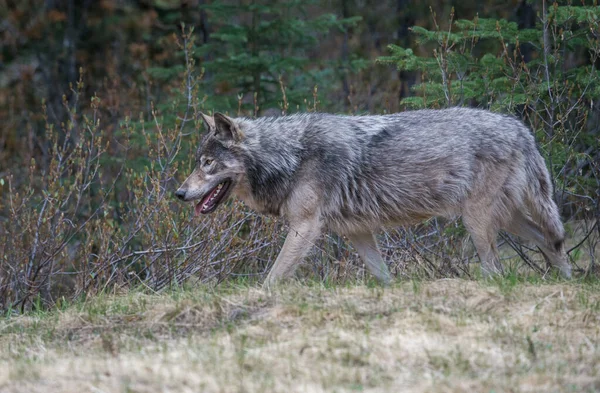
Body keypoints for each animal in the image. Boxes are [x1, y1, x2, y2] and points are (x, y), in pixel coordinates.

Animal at [175, 108, 572, 284]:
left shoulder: (305, 227)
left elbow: (271, 278)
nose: (179, 193)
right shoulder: (358, 232)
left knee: (499, 269)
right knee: (552, 240)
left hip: (476, 222)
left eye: (207, 164)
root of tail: (521, 128)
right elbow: (383, 277)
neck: (289, 155)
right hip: (507, 218)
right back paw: (567, 280)